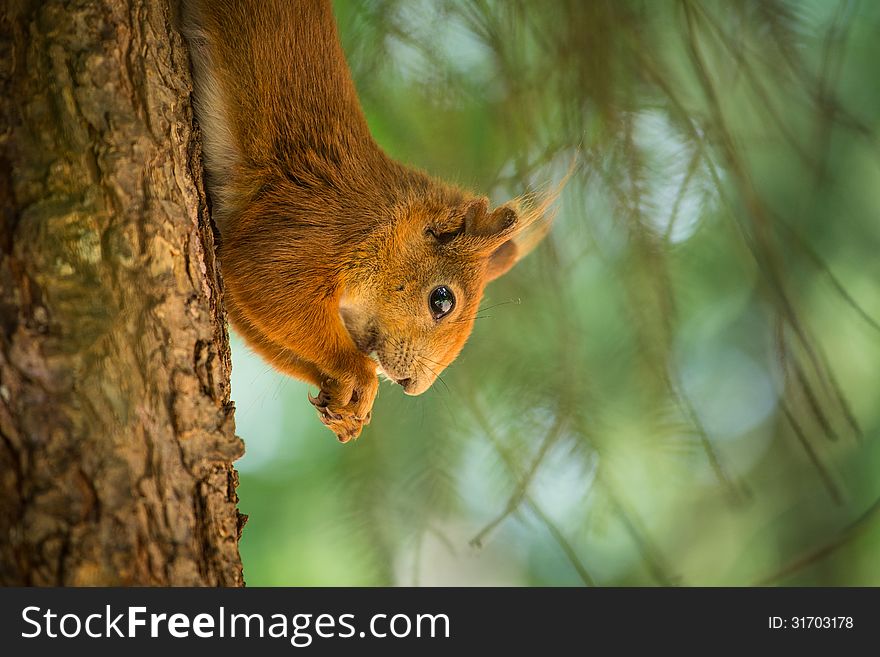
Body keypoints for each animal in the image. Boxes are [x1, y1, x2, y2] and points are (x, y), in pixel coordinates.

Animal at [183, 1, 556, 440]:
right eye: (442, 300)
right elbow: (270, 289)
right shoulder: (309, 226)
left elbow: (255, 321)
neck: (384, 222)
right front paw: (360, 374)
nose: (413, 386)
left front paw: (346, 403)